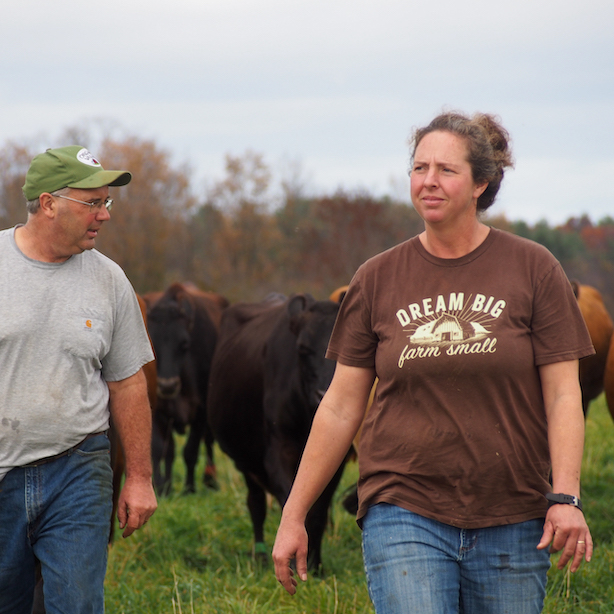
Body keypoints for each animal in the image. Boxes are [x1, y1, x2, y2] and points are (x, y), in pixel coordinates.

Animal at [147, 284, 229, 496]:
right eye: (153, 344)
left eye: (184, 343)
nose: (167, 385)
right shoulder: (158, 411)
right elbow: (161, 449)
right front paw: (161, 486)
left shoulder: (201, 412)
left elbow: (190, 451)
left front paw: (189, 488)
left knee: (208, 443)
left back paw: (210, 480)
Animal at [206, 294, 342, 572]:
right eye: (302, 348)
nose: (324, 395)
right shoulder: (277, 454)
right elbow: (292, 505)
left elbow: (318, 513)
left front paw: (315, 564)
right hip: (246, 461)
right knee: (256, 504)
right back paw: (259, 555)